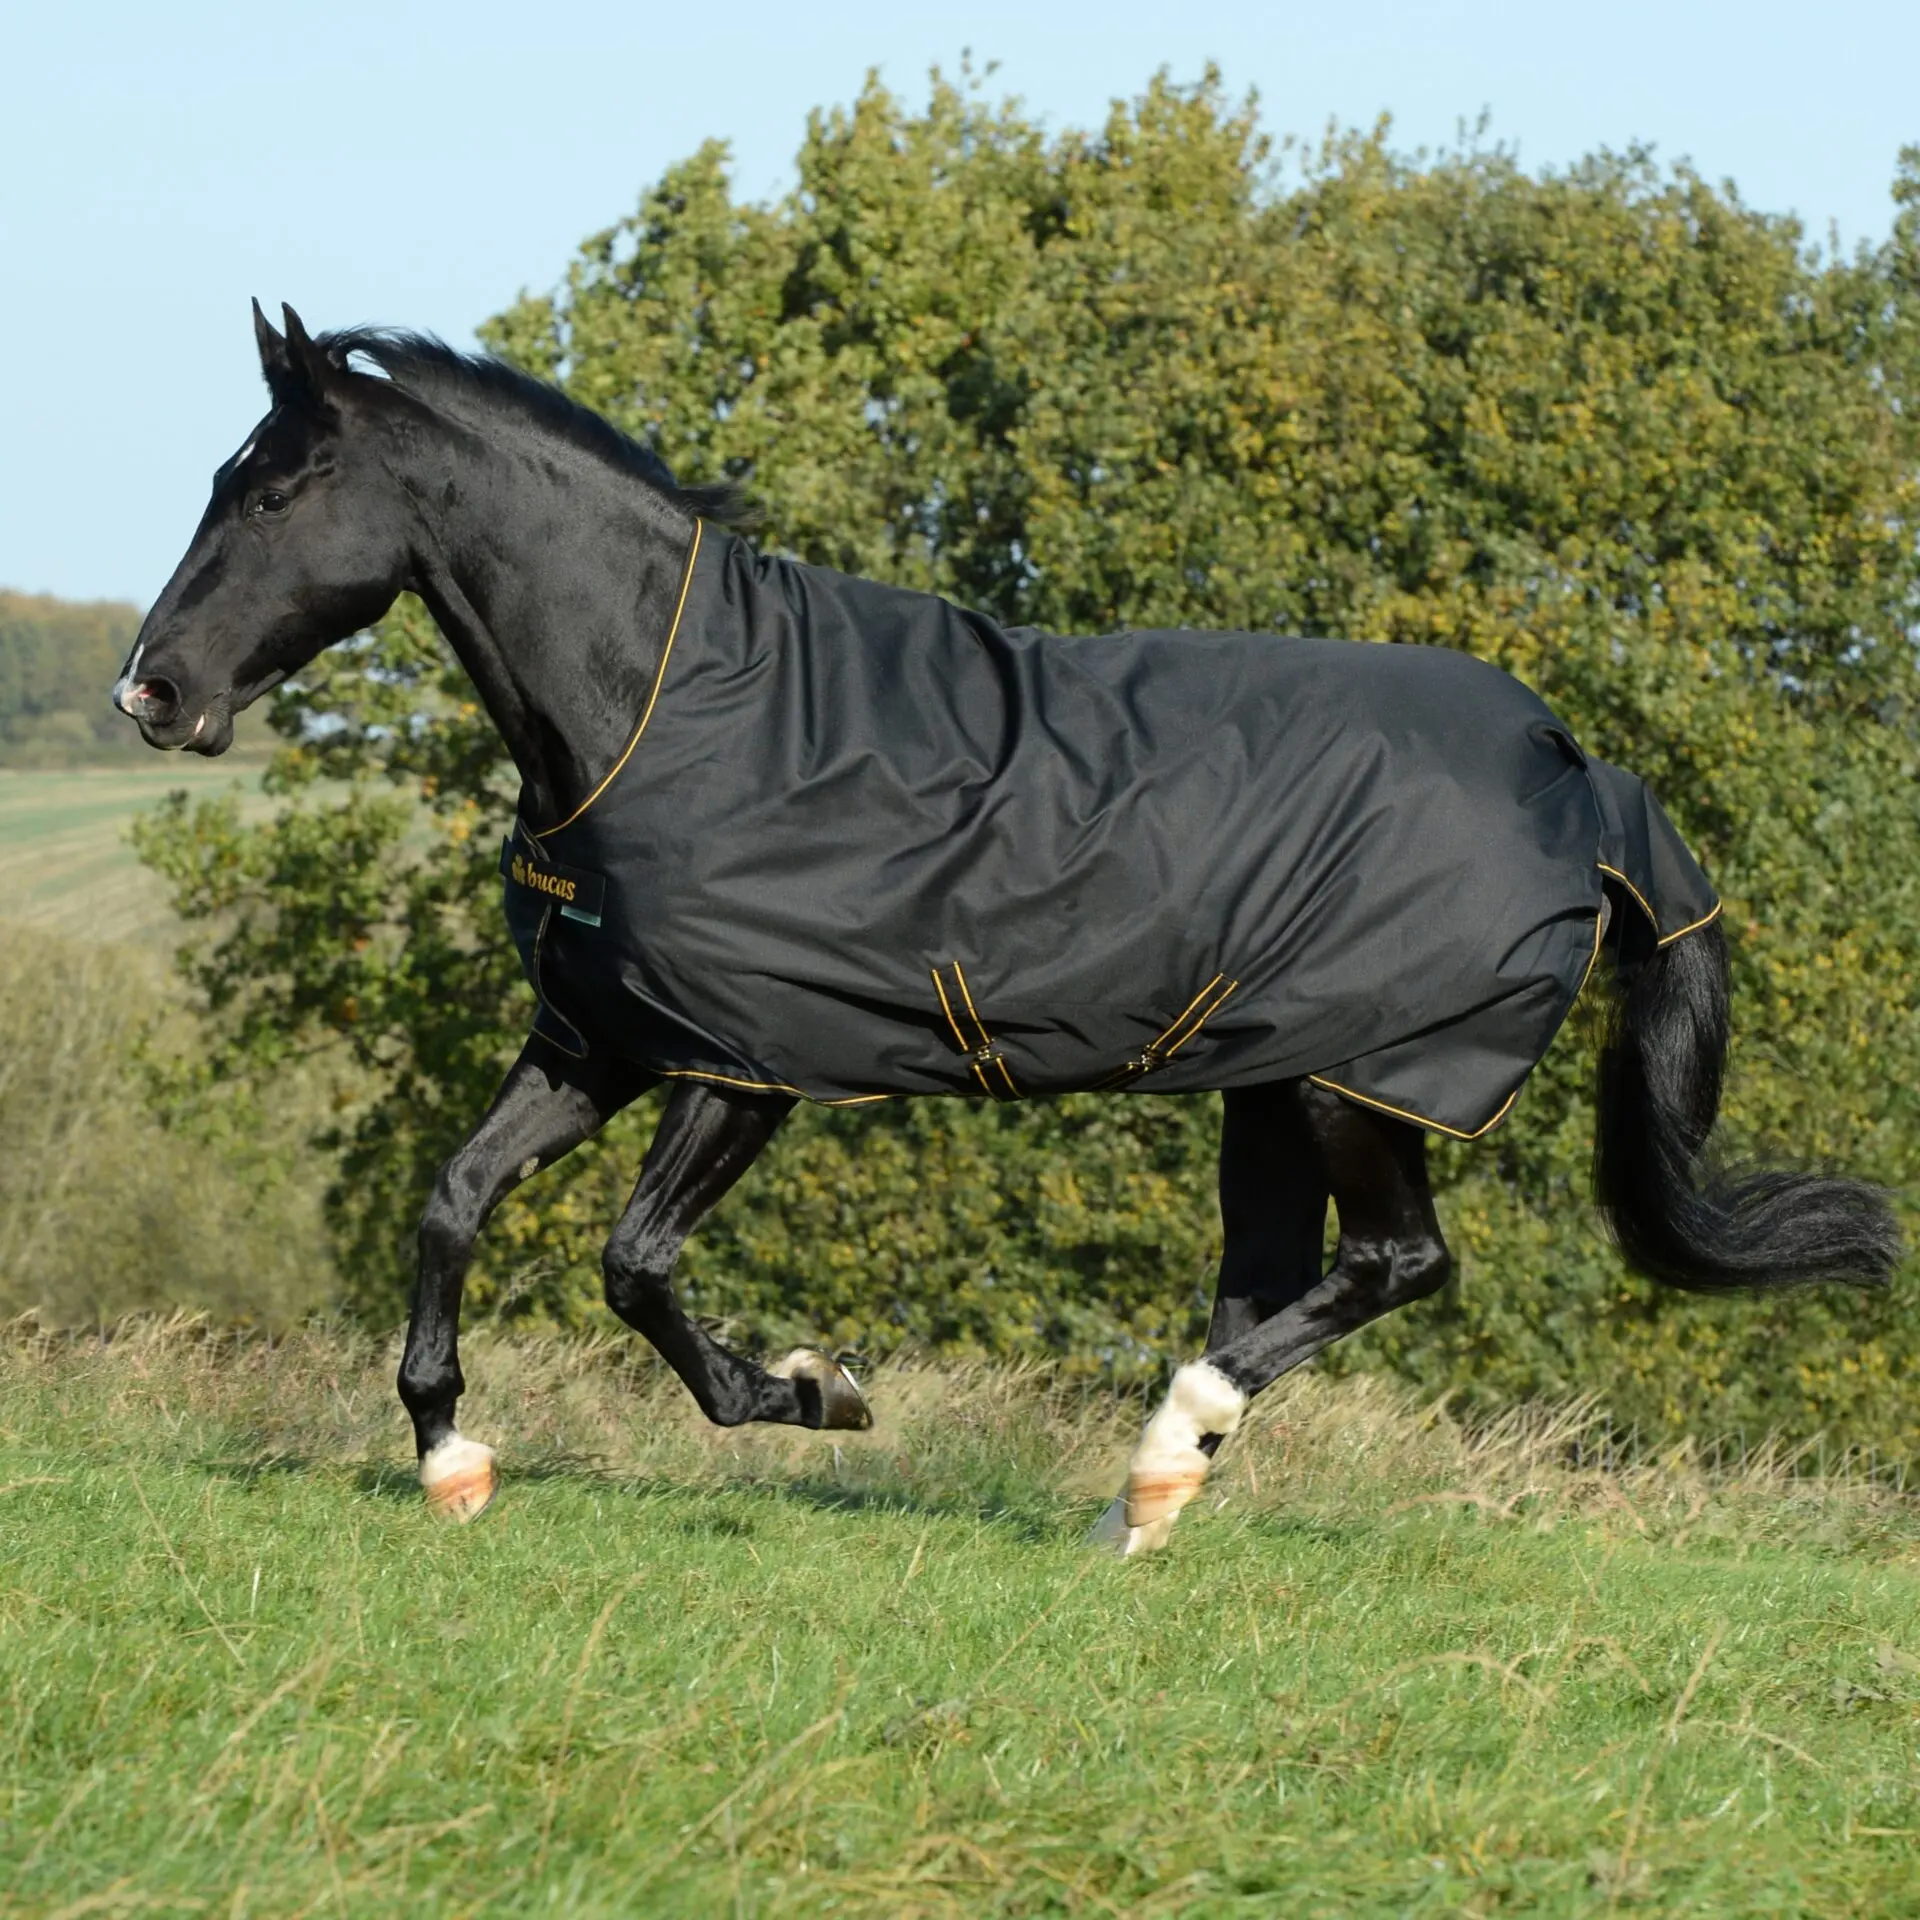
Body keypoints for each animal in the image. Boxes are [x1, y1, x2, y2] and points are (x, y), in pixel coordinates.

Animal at [116, 304, 1902, 1554]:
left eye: (274, 491)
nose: (153, 691)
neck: (663, 703)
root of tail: (1579, 773)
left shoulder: (745, 1067)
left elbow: (633, 1269)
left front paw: (813, 1392)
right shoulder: (601, 1038)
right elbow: (451, 1202)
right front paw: (451, 1461)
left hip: (1367, 1077)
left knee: (1397, 1263)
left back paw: (1162, 1449)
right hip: (1271, 1083)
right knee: (1280, 1280)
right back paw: (1141, 1508)